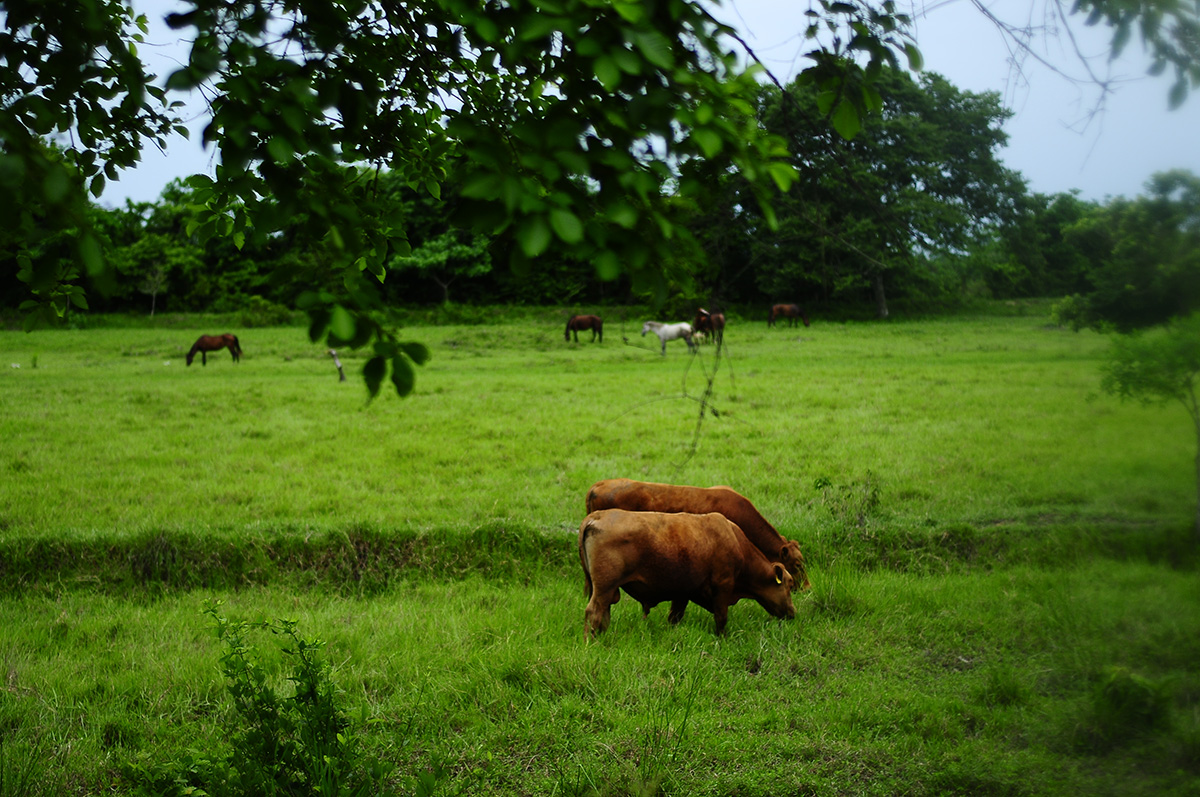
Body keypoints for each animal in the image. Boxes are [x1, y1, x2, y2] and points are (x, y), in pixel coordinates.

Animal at [578, 511, 796, 633]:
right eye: (789, 584)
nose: (792, 613)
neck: (736, 542)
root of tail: (596, 516)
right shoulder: (723, 587)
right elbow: (721, 619)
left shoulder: (682, 593)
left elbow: (674, 617)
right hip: (604, 588)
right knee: (593, 613)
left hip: (606, 591)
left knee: (603, 615)